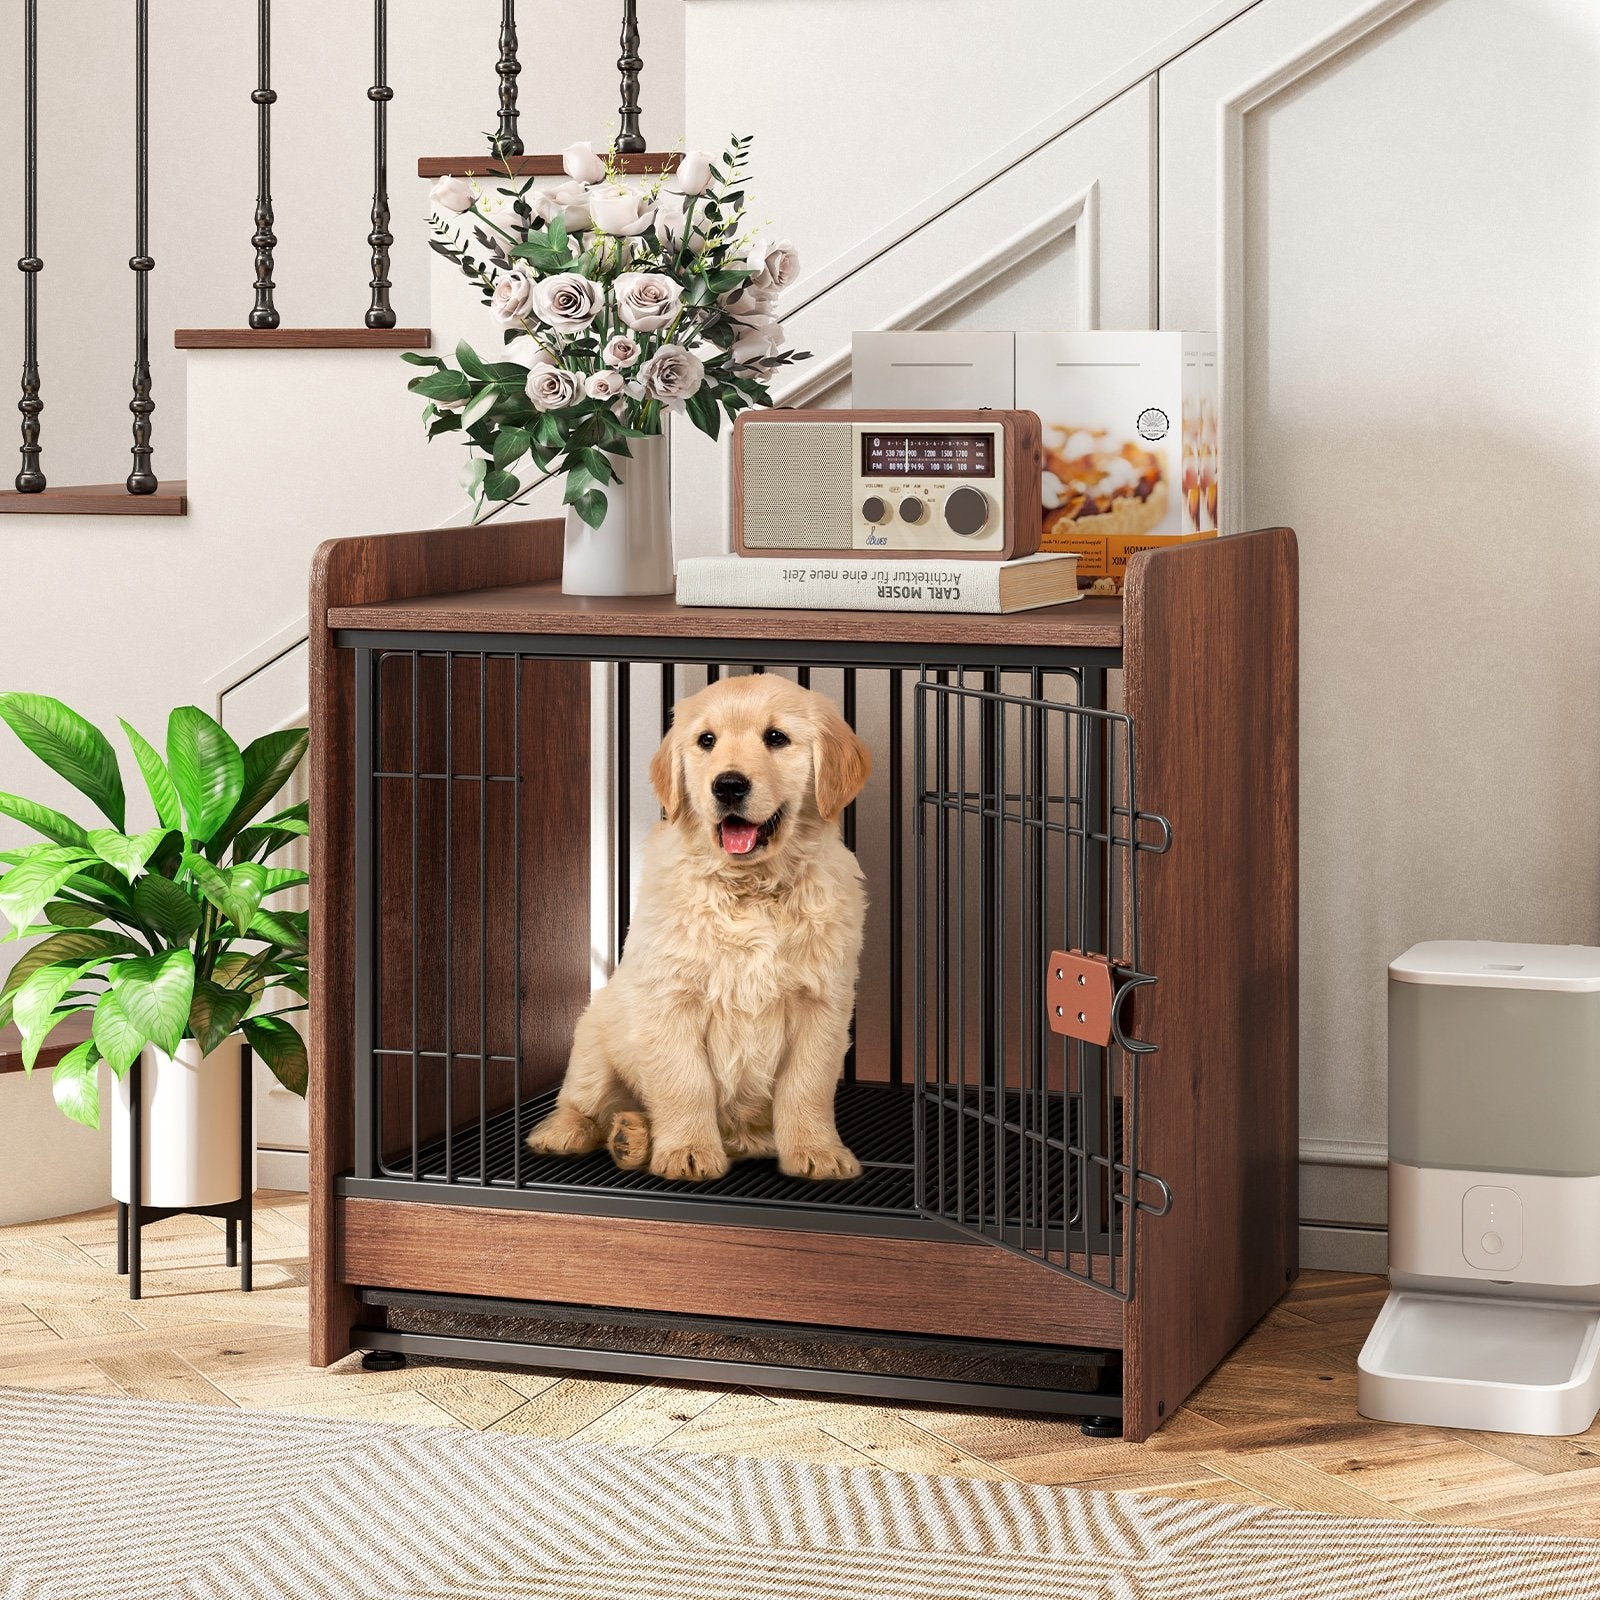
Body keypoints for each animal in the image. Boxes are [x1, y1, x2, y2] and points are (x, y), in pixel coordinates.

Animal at [528, 668, 870, 1184]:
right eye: (706, 740)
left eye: (776, 738)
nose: (727, 785)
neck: (751, 889)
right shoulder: (671, 1000)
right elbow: (684, 1083)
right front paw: (688, 1151)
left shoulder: (822, 1004)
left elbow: (806, 1086)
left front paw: (817, 1151)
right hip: (594, 1036)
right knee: (583, 1102)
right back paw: (582, 1134)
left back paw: (634, 1135)